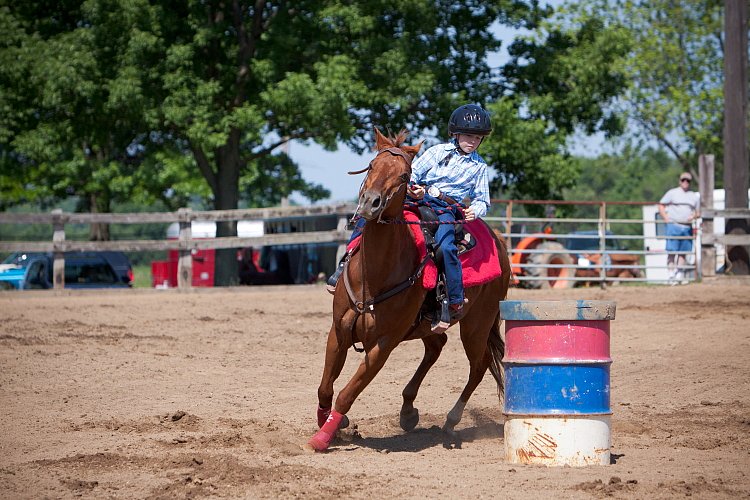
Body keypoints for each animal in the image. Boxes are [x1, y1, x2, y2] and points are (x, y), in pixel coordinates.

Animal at [304, 127, 512, 452]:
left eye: (404, 175)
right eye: (371, 166)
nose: (370, 203)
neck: (374, 276)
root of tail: (499, 241)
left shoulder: (383, 345)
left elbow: (347, 393)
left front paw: (323, 437)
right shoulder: (338, 331)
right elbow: (325, 388)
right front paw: (335, 424)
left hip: (478, 324)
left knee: (478, 367)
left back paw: (450, 421)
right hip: (428, 325)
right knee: (437, 347)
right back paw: (408, 411)